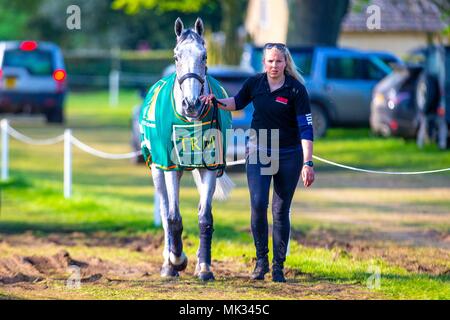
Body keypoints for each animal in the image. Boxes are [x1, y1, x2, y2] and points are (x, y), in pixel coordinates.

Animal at [153, 18, 230, 282]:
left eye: (204, 56)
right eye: (176, 56)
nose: (192, 104)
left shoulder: (209, 168)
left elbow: (205, 217)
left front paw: (204, 267)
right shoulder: (170, 167)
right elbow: (173, 217)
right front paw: (176, 261)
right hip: (156, 170)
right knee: (164, 210)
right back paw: (167, 263)